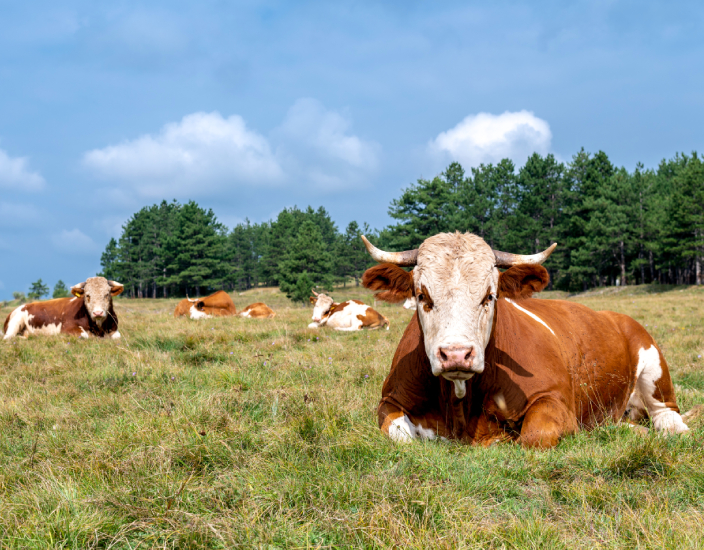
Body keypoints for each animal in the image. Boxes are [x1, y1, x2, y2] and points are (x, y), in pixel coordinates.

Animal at [360, 231, 692, 450]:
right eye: (421, 295)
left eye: (490, 295)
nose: (456, 354)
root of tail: (616, 315)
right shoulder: (390, 400)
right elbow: (399, 434)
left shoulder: (555, 400)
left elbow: (533, 436)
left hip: (653, 366)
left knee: (667, 415)